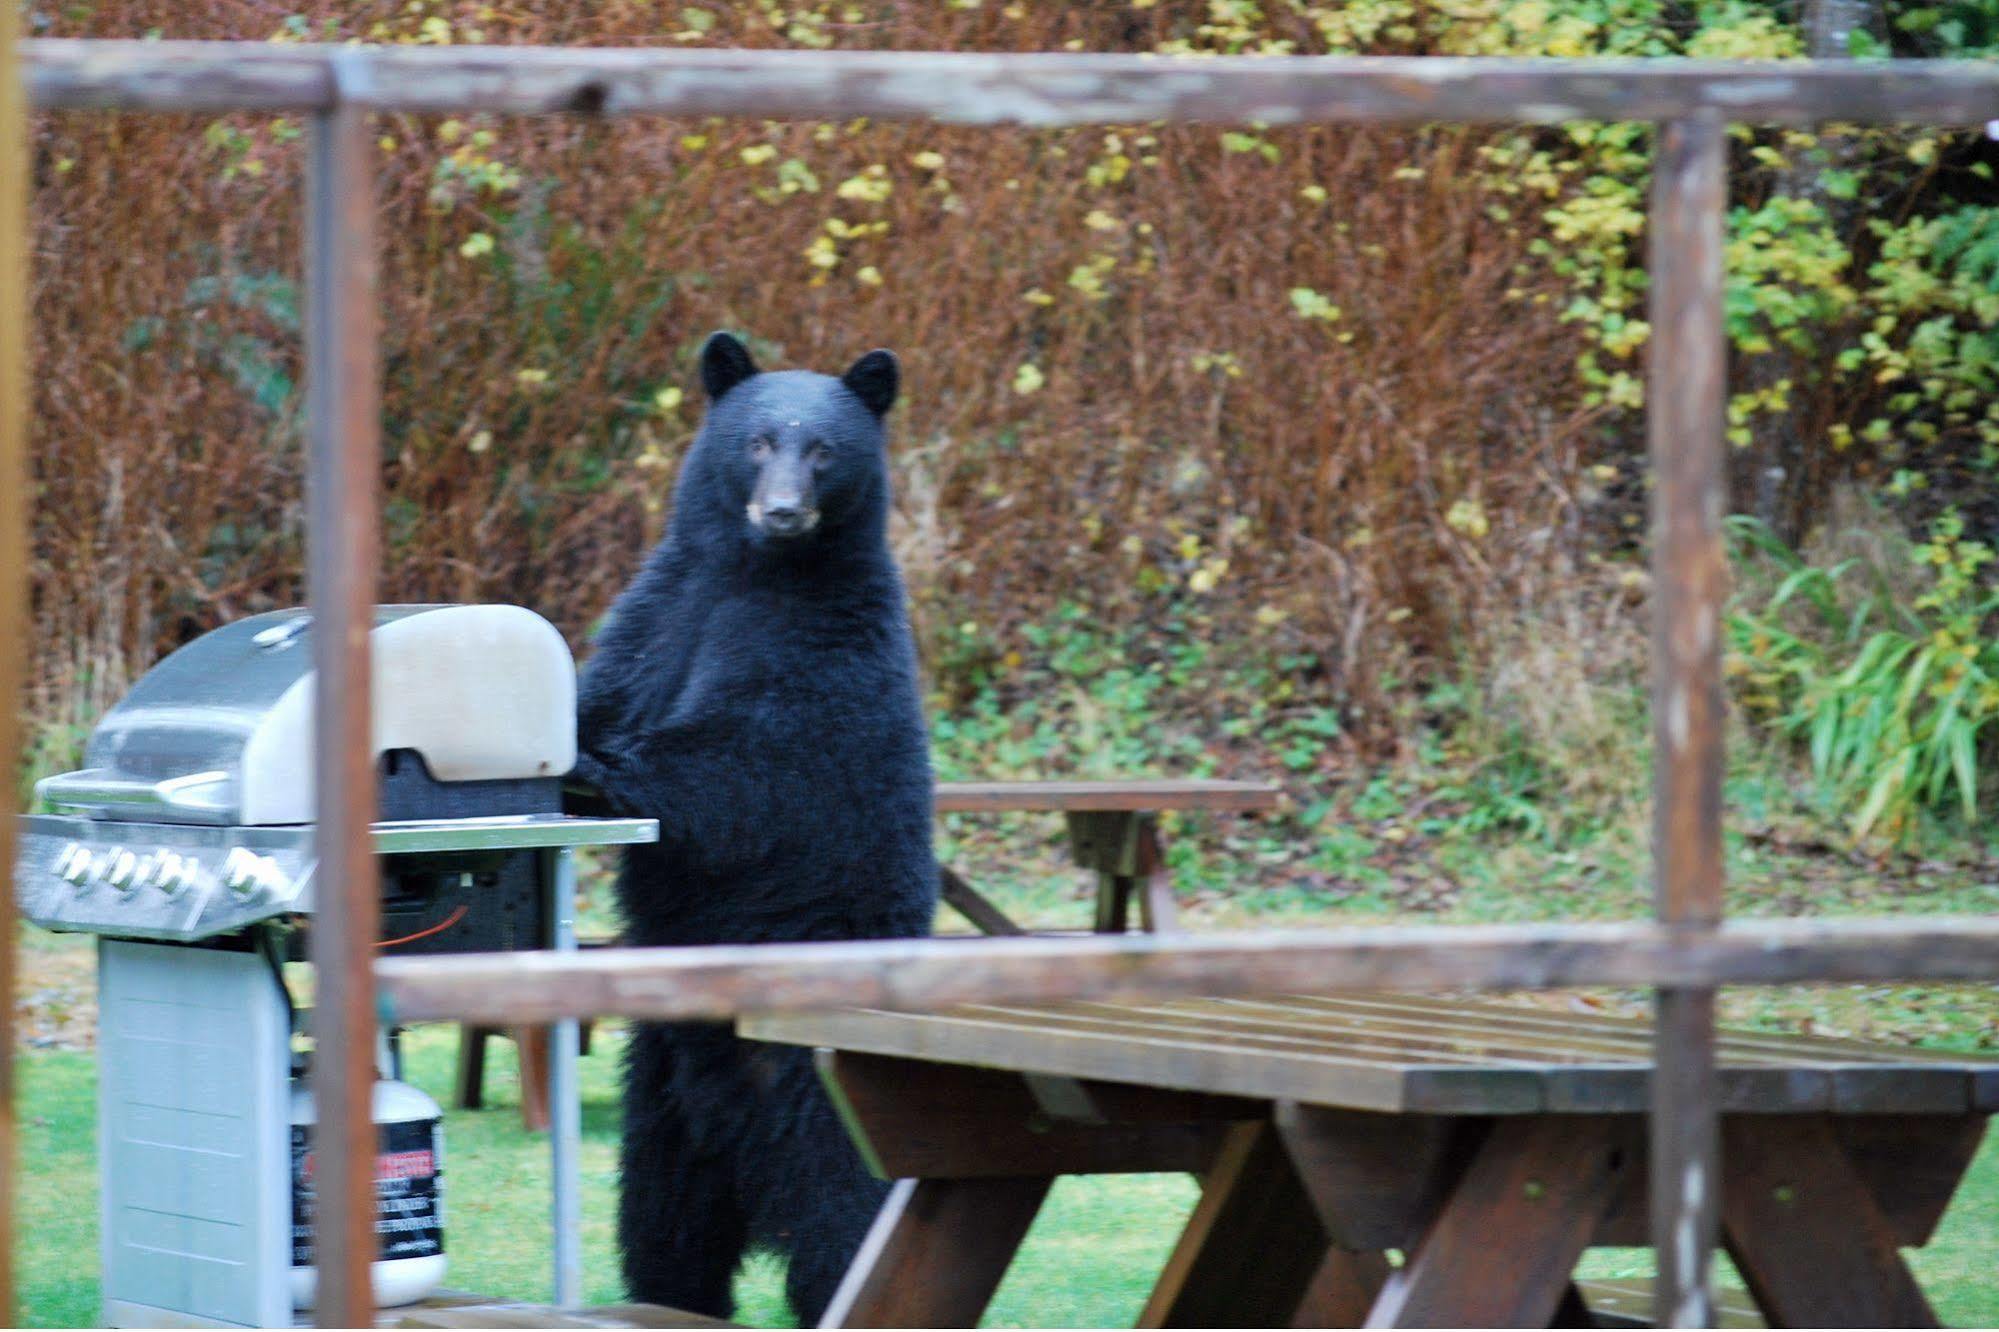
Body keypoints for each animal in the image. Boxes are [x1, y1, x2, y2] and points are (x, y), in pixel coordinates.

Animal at [567, 330, 931, 1320]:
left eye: (824, 450)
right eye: (759, 440)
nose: (782, 512)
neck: (751, 572)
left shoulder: (825, 654)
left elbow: (750, 767)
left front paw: (596, 770)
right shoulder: (660, 614)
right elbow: (600, 689)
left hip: (817, 1090)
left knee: (845, 1221)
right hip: (658, 1103)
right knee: (664, 1234)